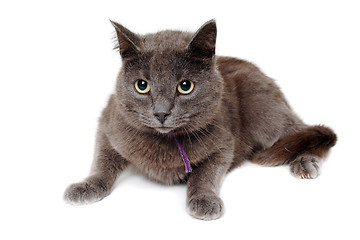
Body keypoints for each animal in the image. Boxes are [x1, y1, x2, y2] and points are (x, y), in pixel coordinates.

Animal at [63, 20, 336, 221]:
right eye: (142, 86)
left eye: (185, 86)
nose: (161, 113)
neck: (165, 143)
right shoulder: (109, 124)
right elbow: (102, 163)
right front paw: (85, 186)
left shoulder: (225, 142)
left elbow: (205, 174)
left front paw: (204, 199)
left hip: (264, 112)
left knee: (303, 131)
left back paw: (305, 163)